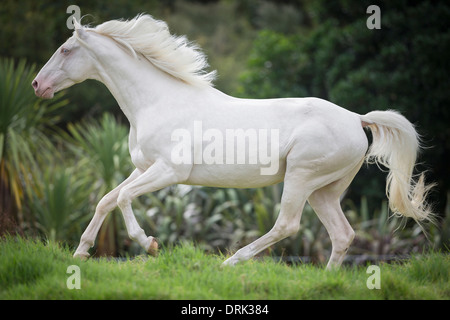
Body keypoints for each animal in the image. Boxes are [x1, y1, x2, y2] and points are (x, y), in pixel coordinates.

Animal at [31, 15, 432, 270]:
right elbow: (107, 199)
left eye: (66, 50)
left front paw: (150, 244)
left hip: (301, 178)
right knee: (342, 235)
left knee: (287, 225)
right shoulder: (143, 168)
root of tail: (356, 118)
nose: (37, 85)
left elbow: (124, 198)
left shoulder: (169, 172)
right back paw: (326, 279)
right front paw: (80, 254)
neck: (156, 101)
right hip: (325, 190)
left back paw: (230, 262)